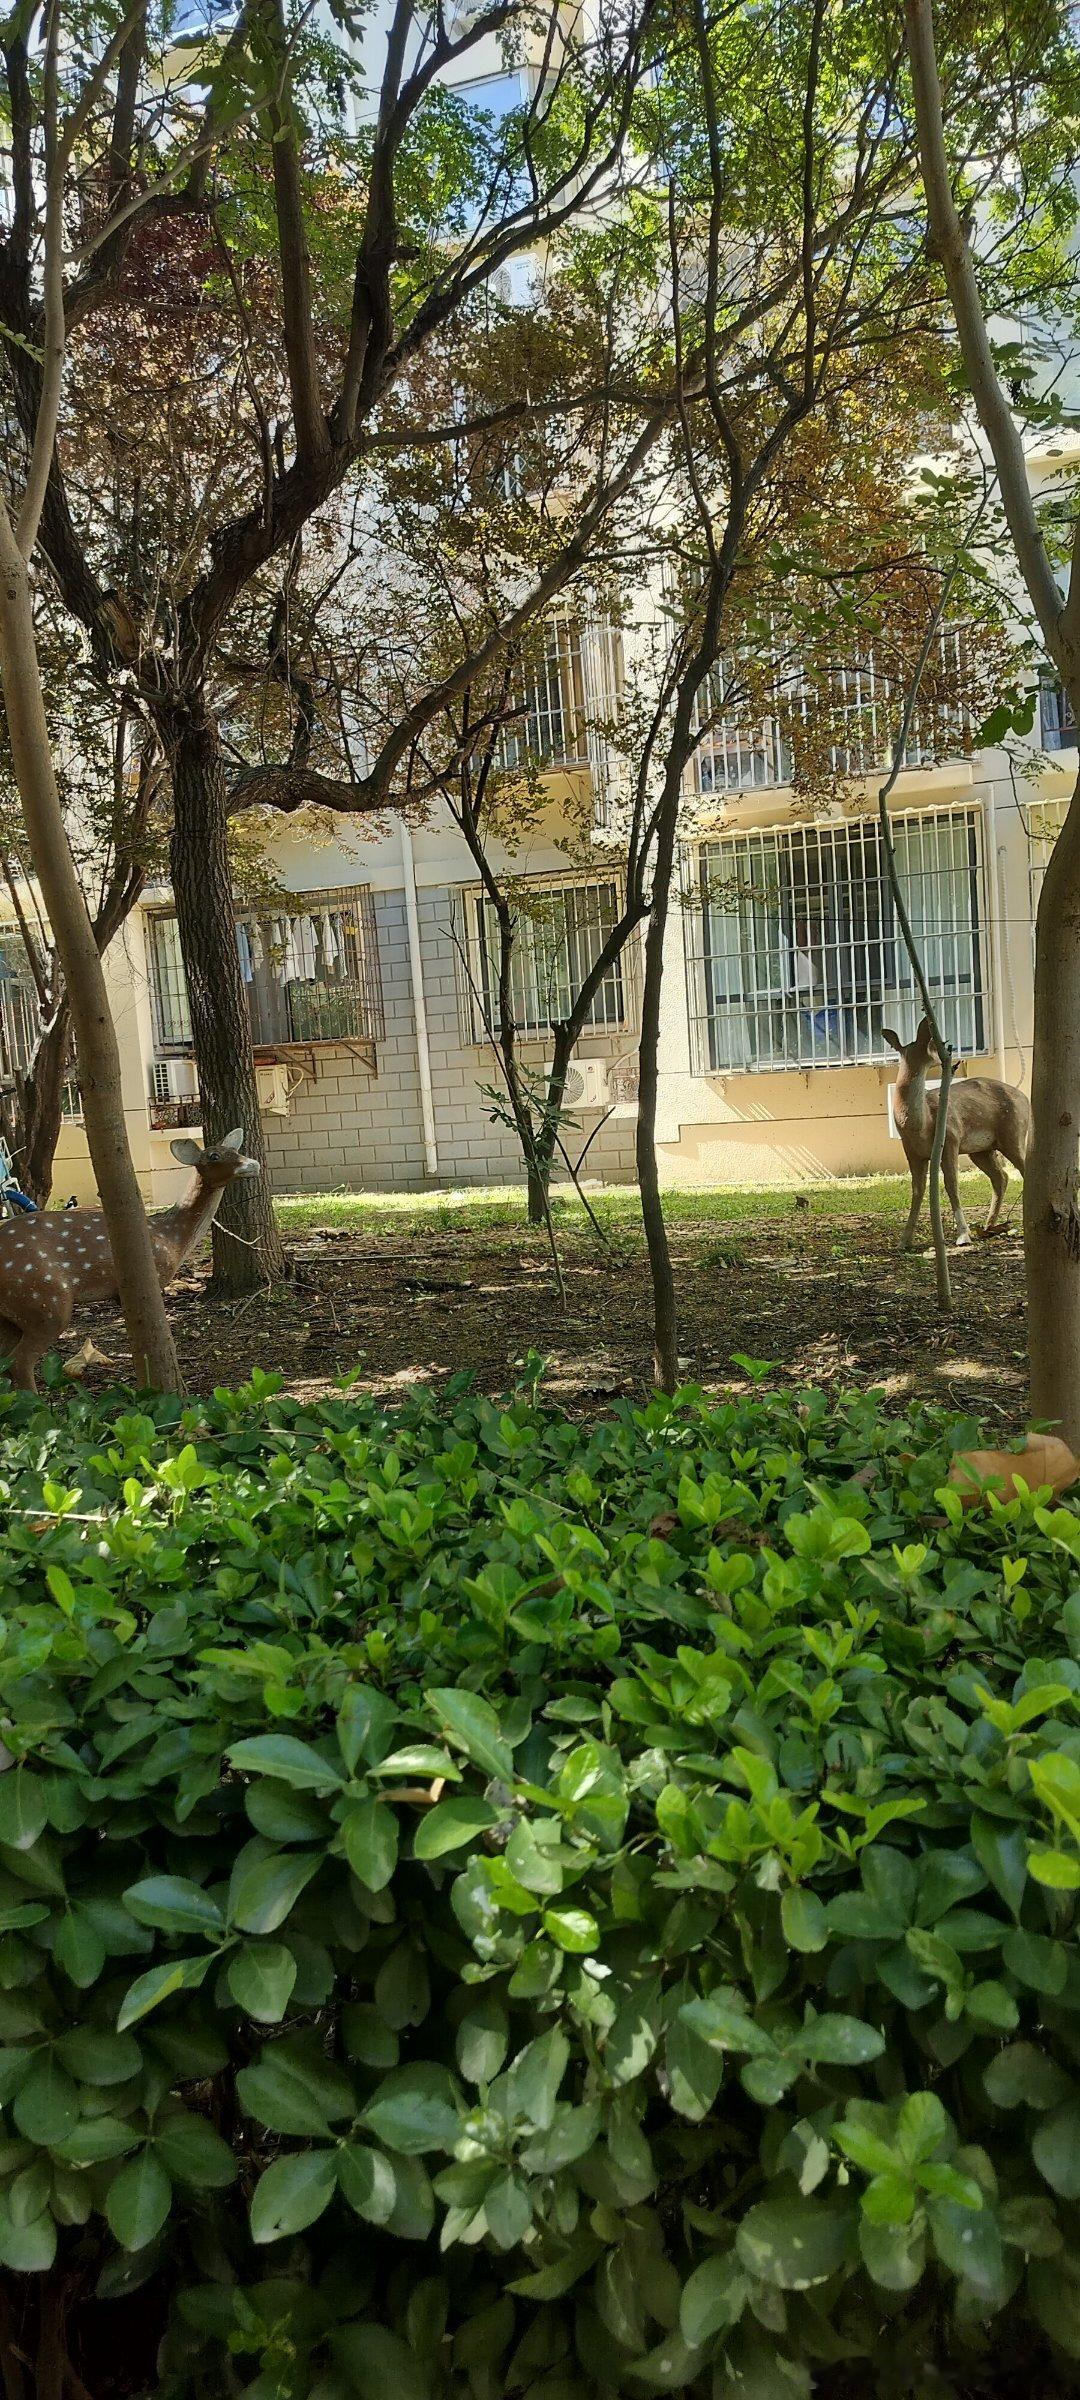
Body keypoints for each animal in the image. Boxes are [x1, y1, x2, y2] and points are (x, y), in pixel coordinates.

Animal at [0, 1128, 259, 1392]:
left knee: (6, 1361)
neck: (171, 1238)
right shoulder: (148, 1278)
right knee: (19, 1362)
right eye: (214, 1156)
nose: (253, 1164)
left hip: (13, 1313)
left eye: (235, 1150)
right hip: (44, 1299)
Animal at [883, 1019, 1030, 1253]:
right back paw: (989, 1226)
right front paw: (904, 1241)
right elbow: (917, 1190)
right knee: (1001, 1177)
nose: (951, 1061)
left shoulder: (950, 1139)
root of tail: (1026, 1099)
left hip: (1015, 1133)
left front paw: (963, 1236)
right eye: (936, 1044)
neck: (921, 1125)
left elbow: (952, 1185)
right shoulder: (911, 1151)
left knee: (1023, 1169)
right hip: (982, 1150)